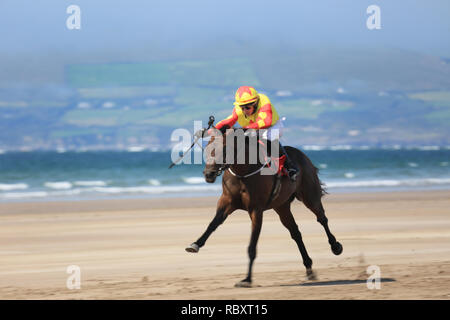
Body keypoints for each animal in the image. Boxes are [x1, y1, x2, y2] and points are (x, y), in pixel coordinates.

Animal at [184, 127, 342, 288]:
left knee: (322, 218)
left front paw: (247, 279)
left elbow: (252, 246)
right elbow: (213, 224)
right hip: (282, 207)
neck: (243, 172)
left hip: (309, 196)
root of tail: (303, 155)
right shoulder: (226, 202)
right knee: (296, 233)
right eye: (207, 148)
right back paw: (309, 268)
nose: (208, 174)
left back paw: (335, 246)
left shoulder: (256, 210)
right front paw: (195, 244)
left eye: (224, 149)